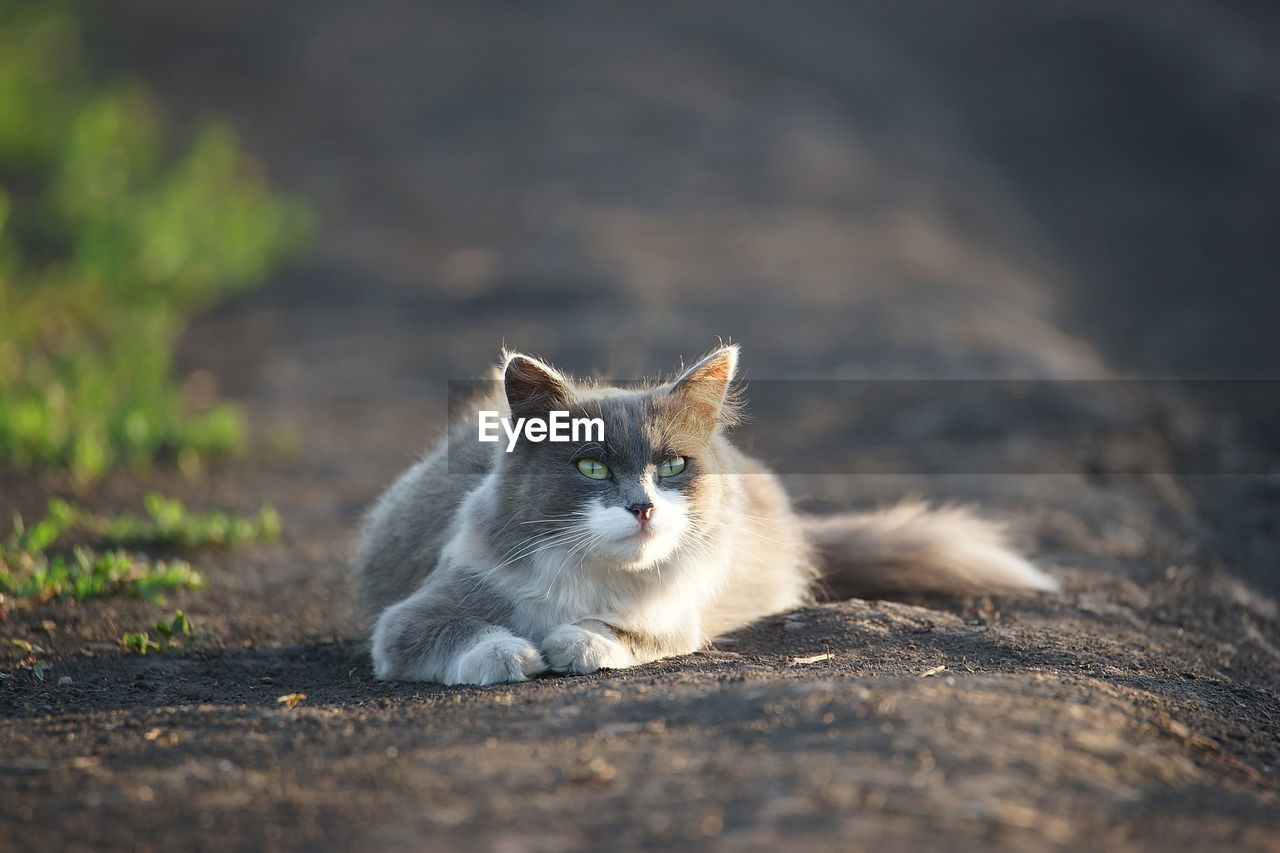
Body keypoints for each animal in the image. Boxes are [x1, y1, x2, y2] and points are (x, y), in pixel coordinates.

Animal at [353, 343, 1059, 681]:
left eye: (671, 467)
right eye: (590, 468)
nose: (641, 508)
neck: (597, 576)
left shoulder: (680, 617)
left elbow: (628, 632)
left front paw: (573, 642)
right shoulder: (416, 614)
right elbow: (454, 635)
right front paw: (513, 655)